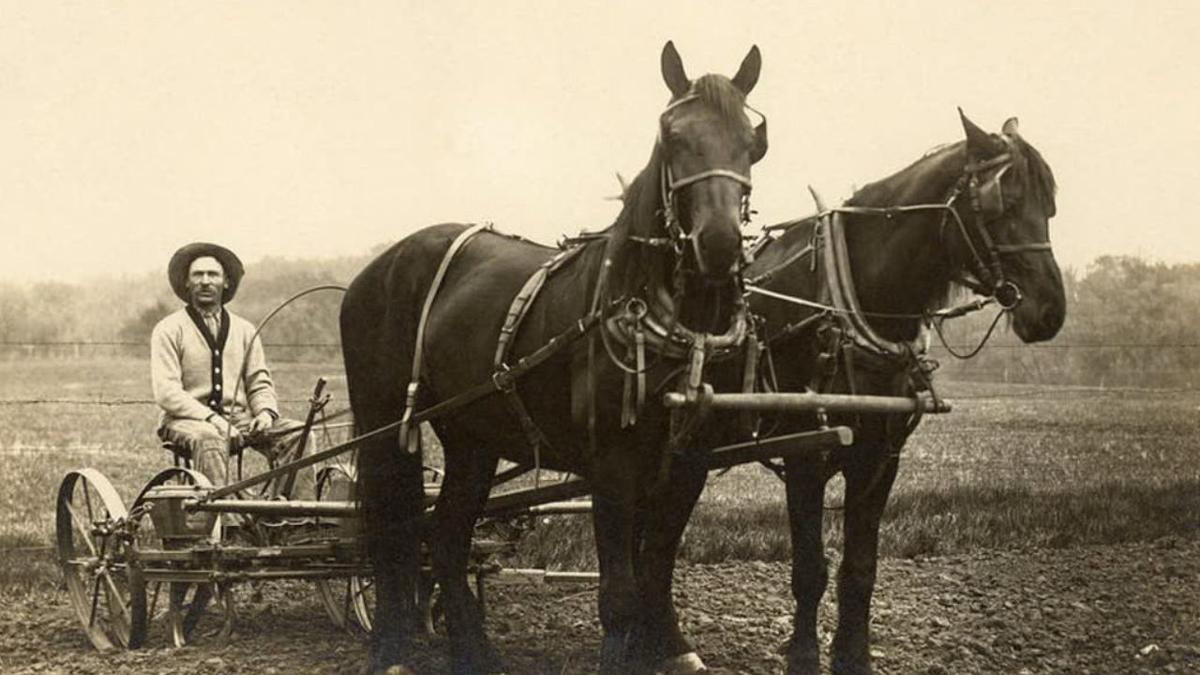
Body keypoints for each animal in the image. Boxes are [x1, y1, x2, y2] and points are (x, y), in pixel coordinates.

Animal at [340, 42, 768, 674]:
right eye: (671, 135)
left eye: (753, 138)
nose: (717, 245)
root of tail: (378, 267)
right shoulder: (612, 460)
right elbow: (619, 590)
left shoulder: (688, 460)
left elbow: (656, 569)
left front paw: (671, 647)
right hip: (381, 420)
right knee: (392, 531)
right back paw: (391, 648)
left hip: (472, 436)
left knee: (445, 537)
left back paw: (476, 652)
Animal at [663, 110, 1065, 674]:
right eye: (1002, 203)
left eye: (1049, 206)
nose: (1050, 311)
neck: (848, 305)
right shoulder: (805, 454)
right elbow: (810, 568)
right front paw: (803, 656)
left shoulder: (880, 456)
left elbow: (860, 567)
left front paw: (854, 656)